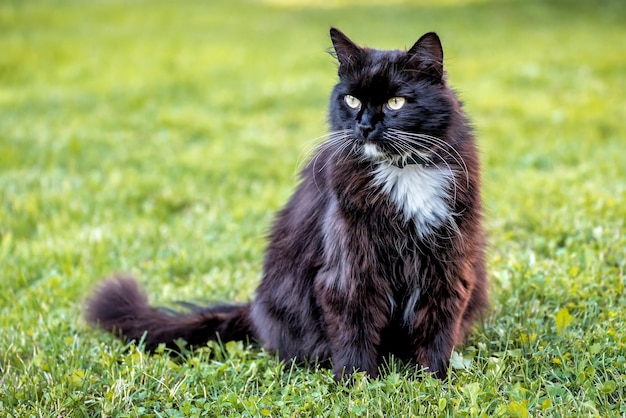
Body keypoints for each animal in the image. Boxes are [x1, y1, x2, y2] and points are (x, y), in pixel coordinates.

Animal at [86, 27, 488, 380]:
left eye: (395, 102)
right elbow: (354, 329)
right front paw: (358, 384)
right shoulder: (350, 269)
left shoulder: (449, 263)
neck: (401, 173)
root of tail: (254, 308)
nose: (364, 125)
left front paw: (434, 380)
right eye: (352, 100)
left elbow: (437, 328)